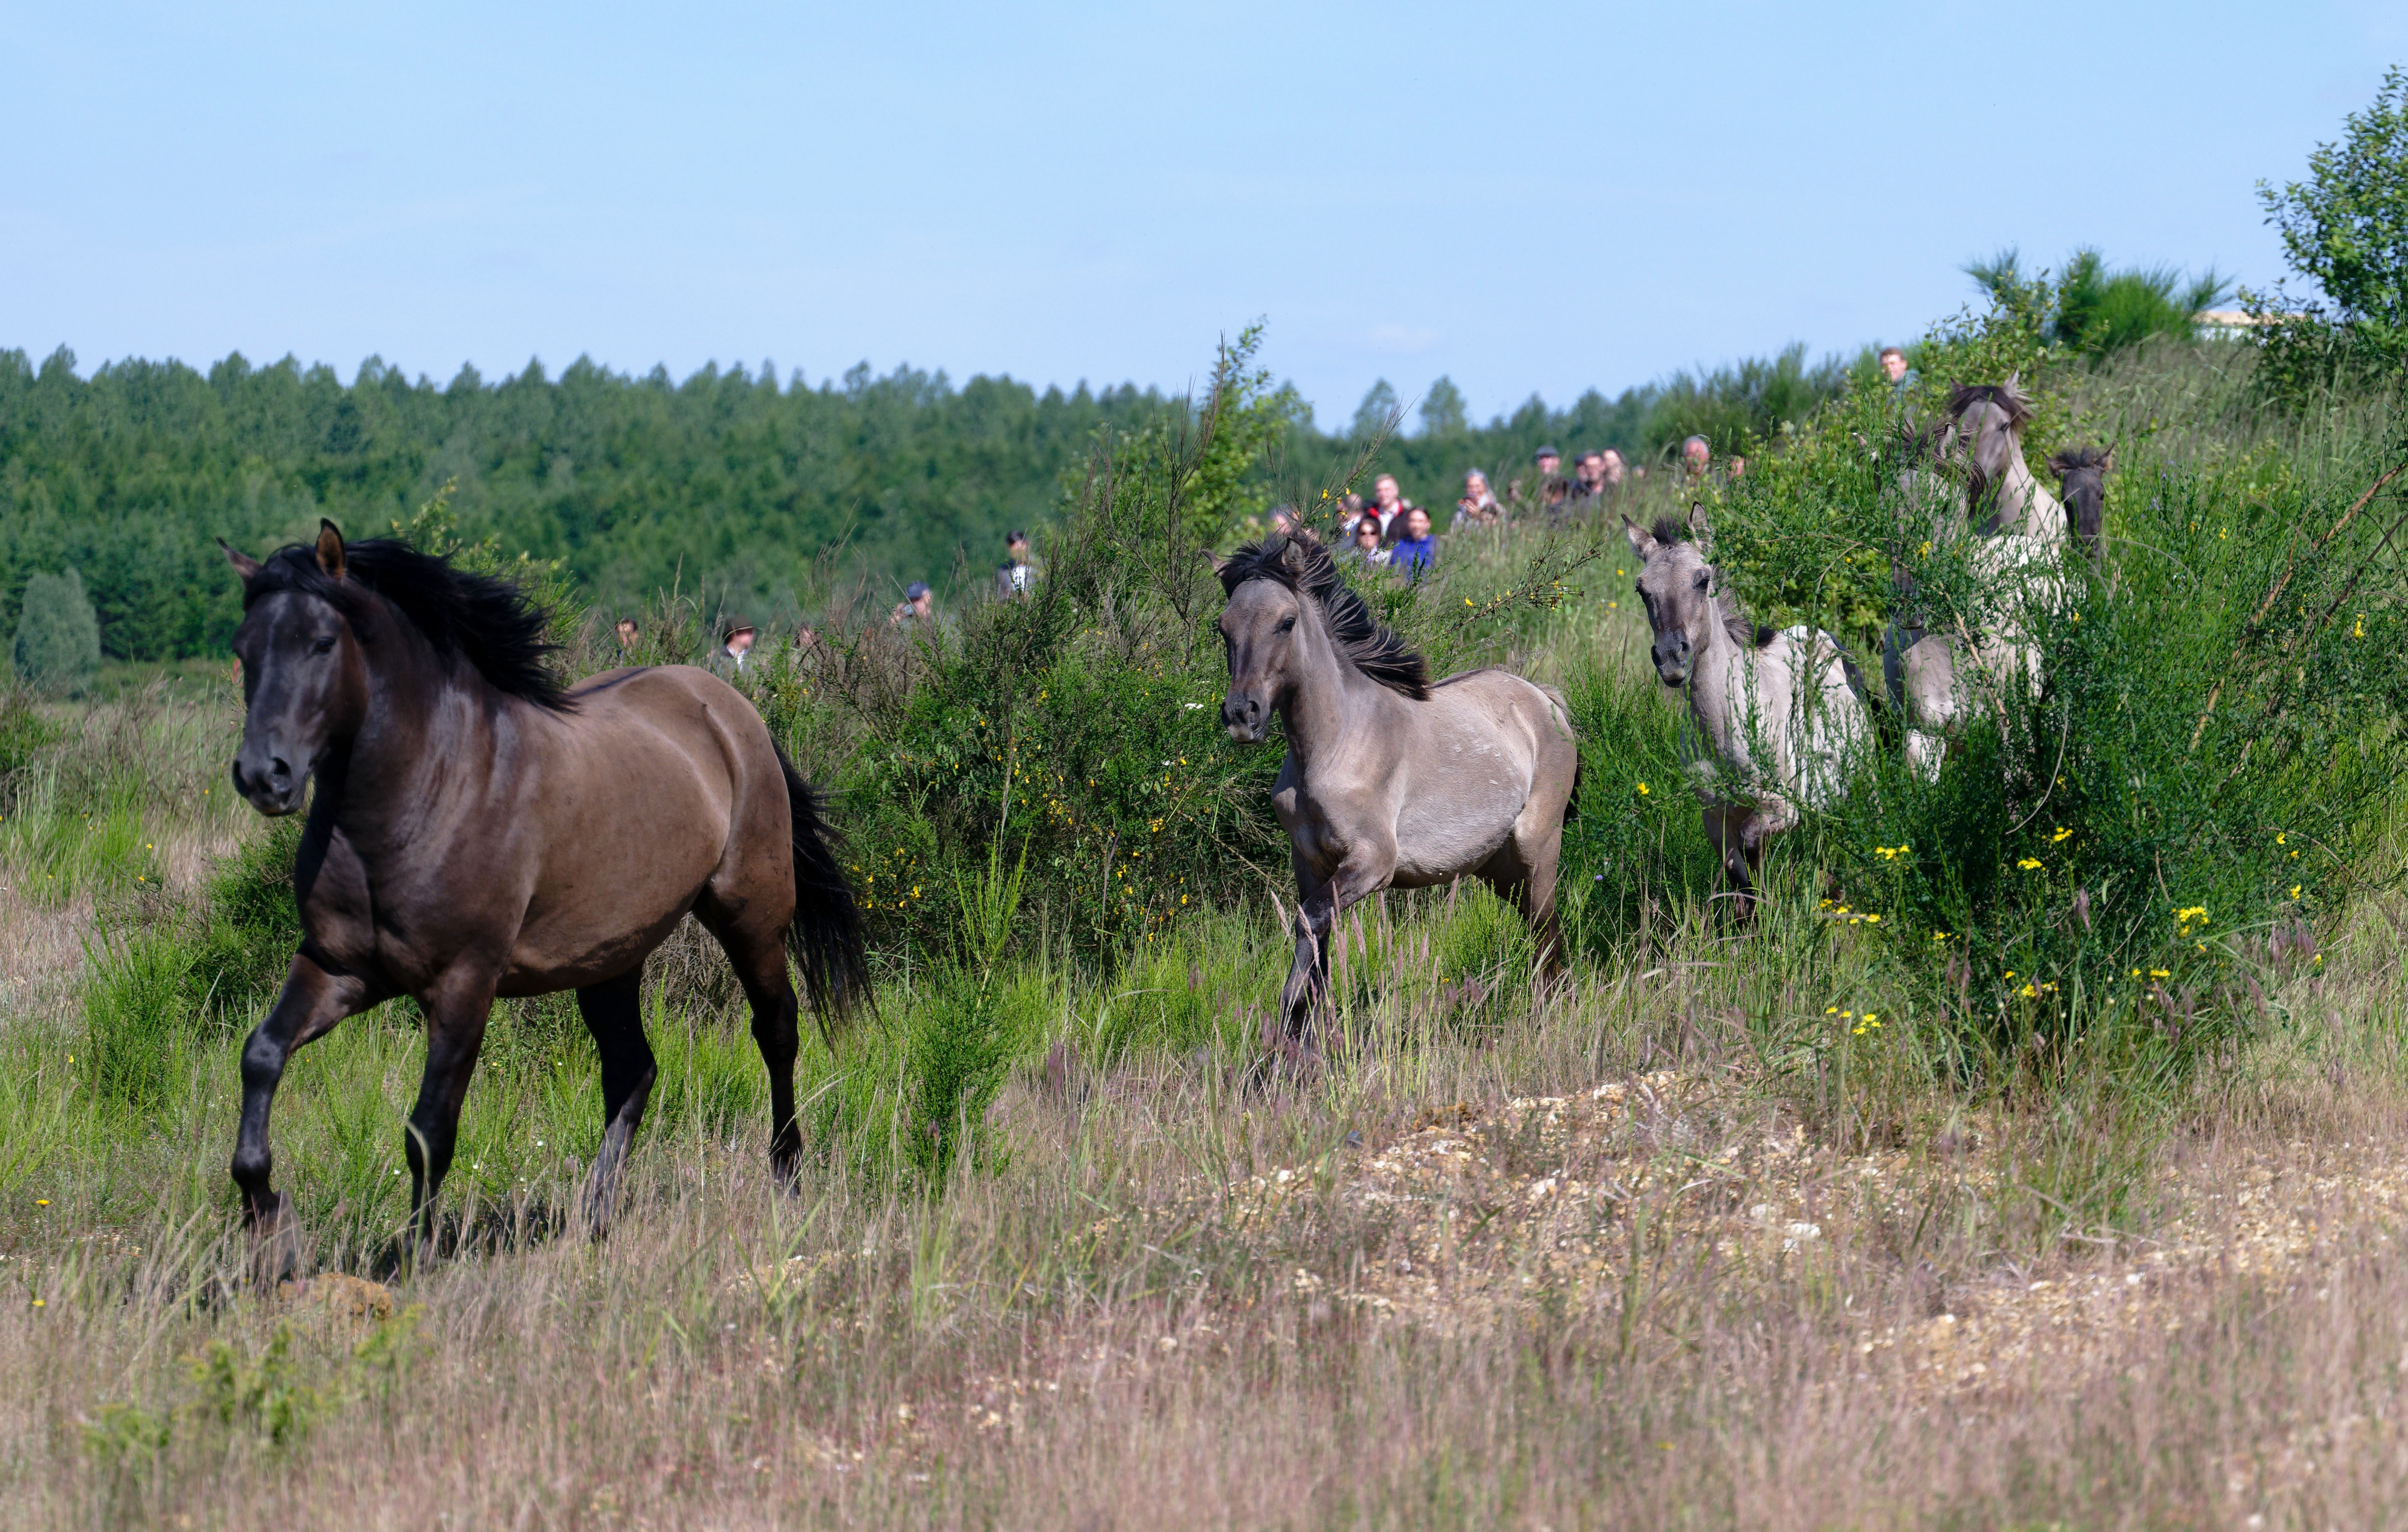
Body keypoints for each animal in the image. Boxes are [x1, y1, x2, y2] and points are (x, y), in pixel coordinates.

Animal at [221, 520, 867, 1253]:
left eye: (323, 643)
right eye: (243, 650)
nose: (264, 775)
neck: (421, 795)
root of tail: (728, 708)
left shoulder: (464, 984)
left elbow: (429, 1130)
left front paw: (414, 1255)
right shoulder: (338, 968)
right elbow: (261, 1055)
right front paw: (267, 1216)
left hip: (750, 915)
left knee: (776, 1031)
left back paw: (787, 1178)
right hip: (611, 958)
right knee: (633, 1069)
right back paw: (596, 1214)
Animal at [1210, 534, 1579, 1051]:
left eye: (1286, 622)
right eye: (1223, 627)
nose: (1243, 715)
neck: (1334, 744)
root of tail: (1546, 700)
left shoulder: (1374, 862)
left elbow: (1309, 922)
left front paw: (1289, 1020)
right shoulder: (1310, 863)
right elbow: (1316, 935)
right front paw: (1303, 1039)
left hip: (1537, 854)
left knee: (1547, 934)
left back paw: (1551, 1020)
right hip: (1499, 871)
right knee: (1539, 931)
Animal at [1625, 507, 1868, 903]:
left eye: (1703, 579)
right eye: (1643, 589)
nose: (1671, 658)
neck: (1725, 734)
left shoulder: (1783, 806)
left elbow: (1753, 844)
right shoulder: (1714, 818)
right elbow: (1739, 873)